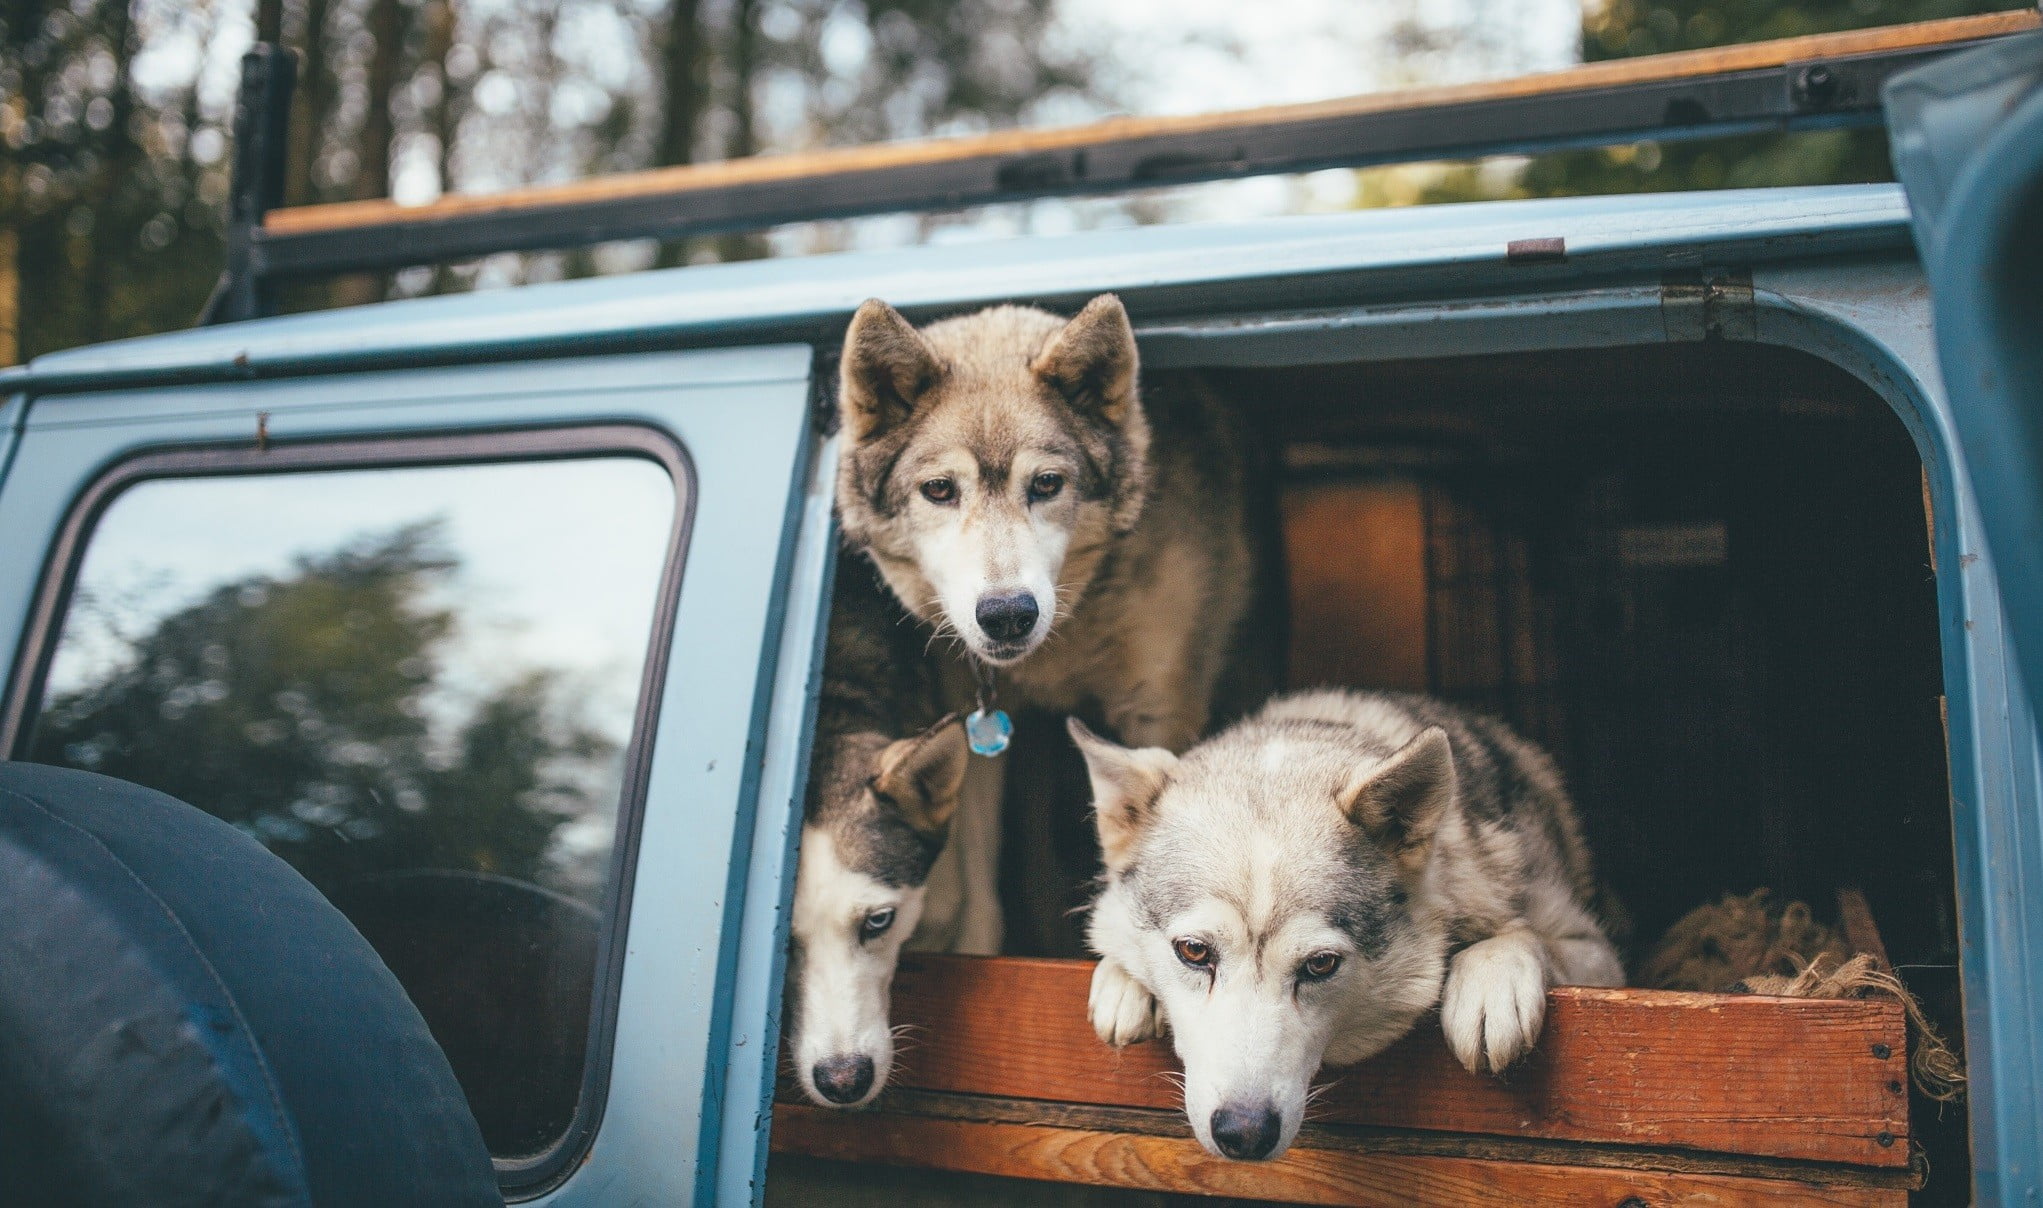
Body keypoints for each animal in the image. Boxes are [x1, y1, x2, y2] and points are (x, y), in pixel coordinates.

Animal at [1074, 689, 1625, 1161]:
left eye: (1320, 965)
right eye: (1193, 951)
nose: (1244, 1133)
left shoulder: (1595, 950)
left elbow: (1527, 937)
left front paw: (1492, 978)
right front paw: (1122, 983)